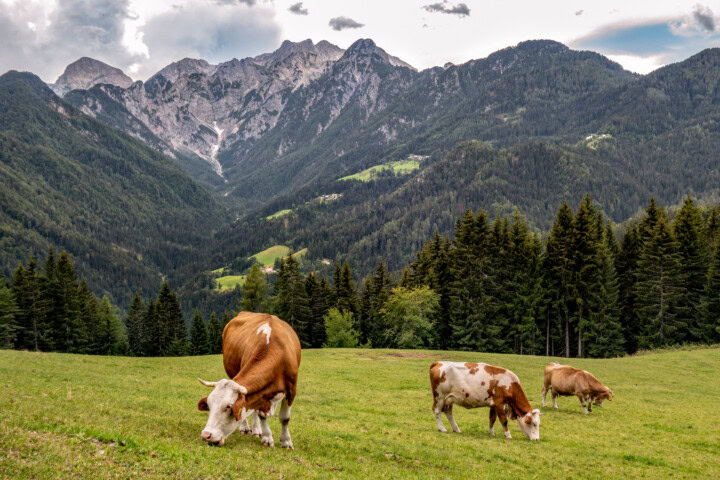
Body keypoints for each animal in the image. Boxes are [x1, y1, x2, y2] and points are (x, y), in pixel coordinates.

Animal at [197, 312, 301, 448]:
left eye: (228, 406)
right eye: (208, 405)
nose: (206, 435)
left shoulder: (292, 389)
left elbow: (285, 418)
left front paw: (286, 441)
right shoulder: (261, 395)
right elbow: (261, 414)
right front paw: (267, 438)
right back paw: (247, 428)